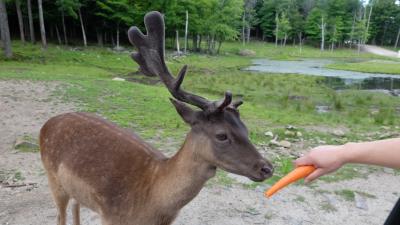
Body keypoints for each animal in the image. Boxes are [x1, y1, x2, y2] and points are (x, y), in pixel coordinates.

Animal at [39, 11, 272, 225]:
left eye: (246, 129)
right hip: (53, 179)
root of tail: (47, 124)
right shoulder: (111, 216)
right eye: (222, 135)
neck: (152, 205)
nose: (267, 168)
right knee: (60, 215)